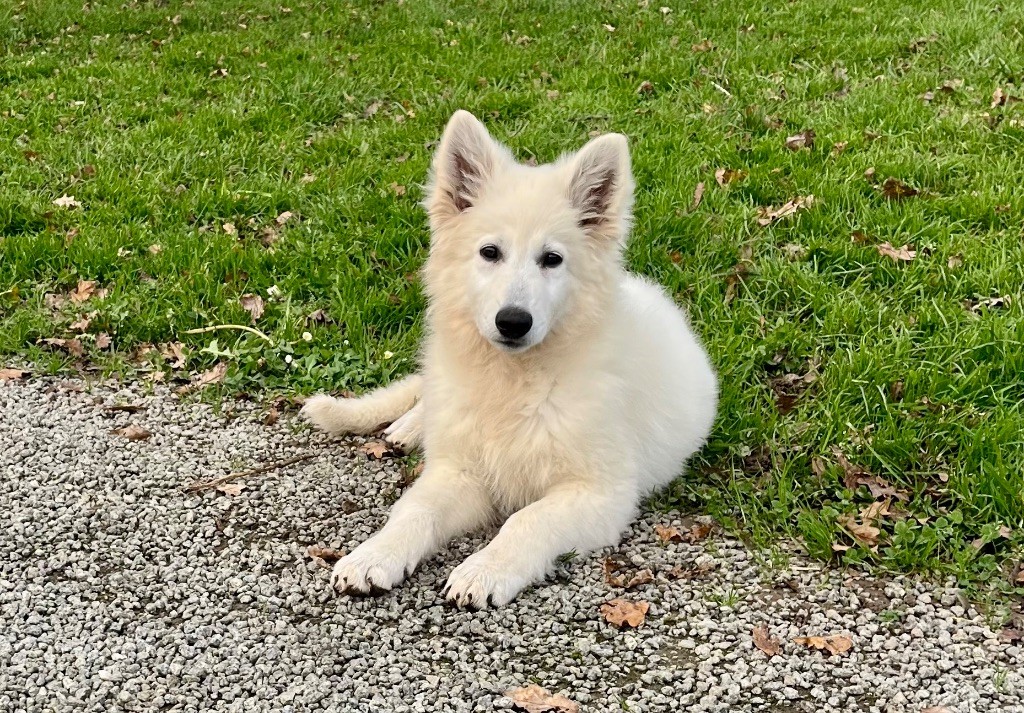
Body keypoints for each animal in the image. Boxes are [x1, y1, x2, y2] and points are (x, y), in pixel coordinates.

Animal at [301, 110, 720, 606]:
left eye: (552, 259)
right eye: (490, 252)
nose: (513, 322)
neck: (515, 381)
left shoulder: (599, 493)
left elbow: (527, 520)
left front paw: (484, 570)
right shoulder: (461, 470)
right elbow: (415, 509)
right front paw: (375, 554)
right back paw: (408, 426)